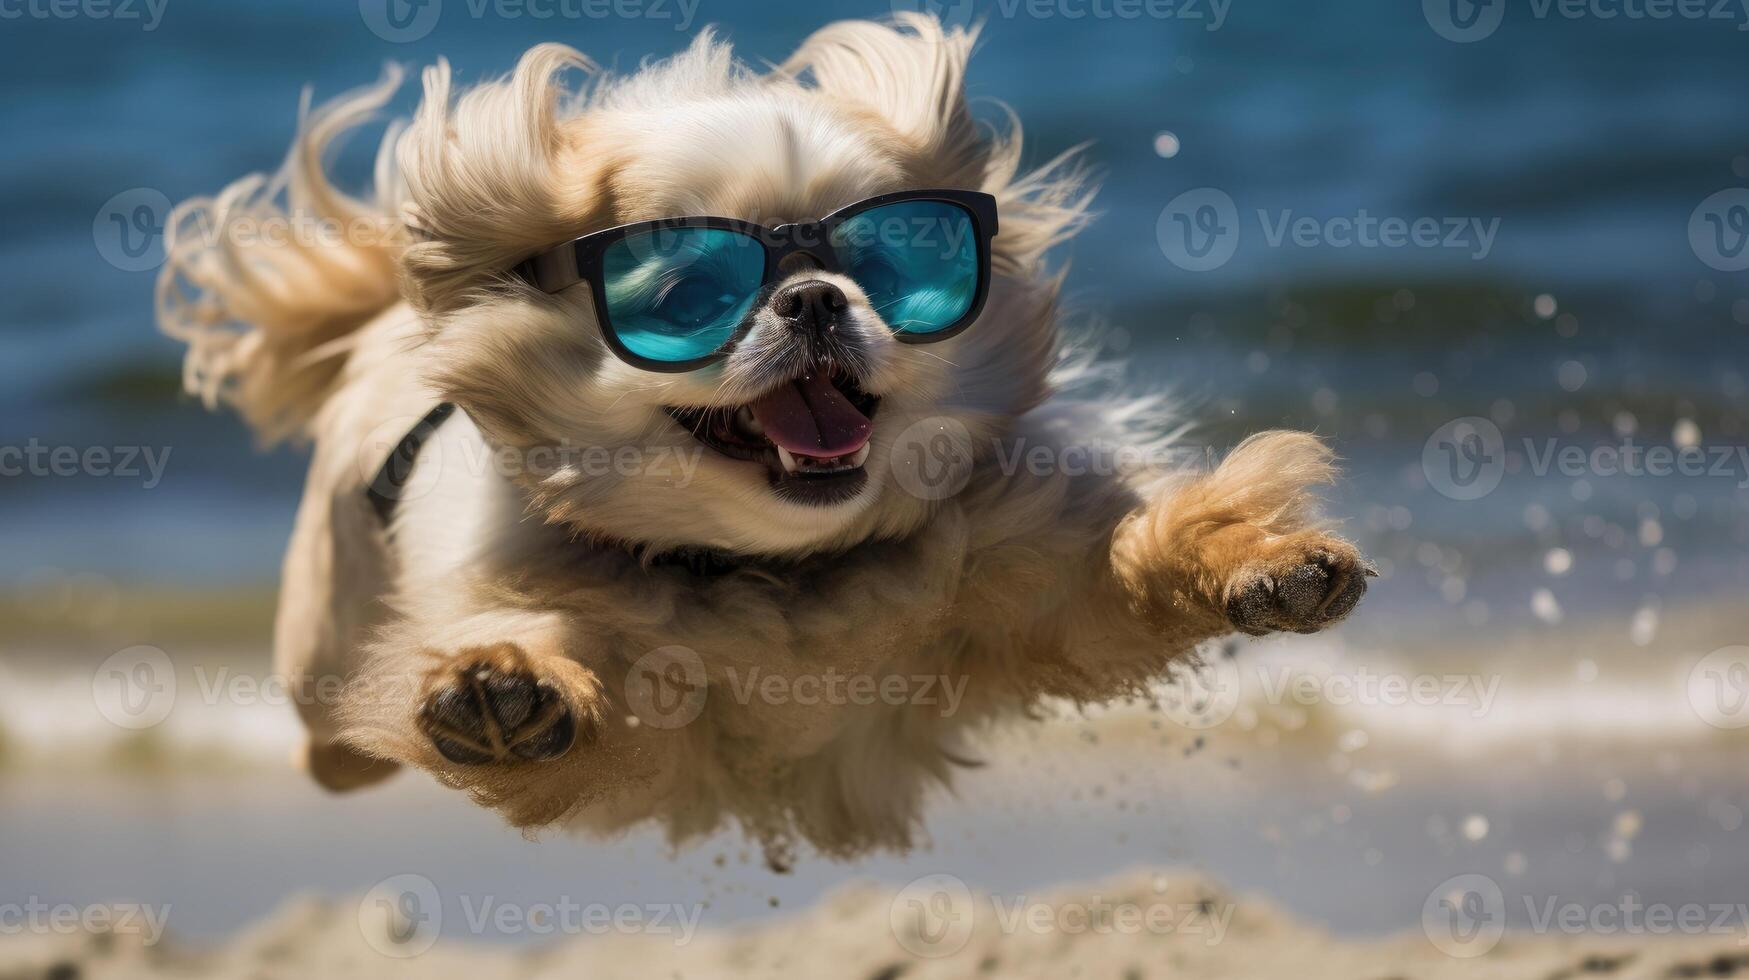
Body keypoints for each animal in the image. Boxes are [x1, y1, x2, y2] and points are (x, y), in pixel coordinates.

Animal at [157, 13, 1371, 857]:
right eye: (689, 293)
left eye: (890, 262)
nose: (817, 300)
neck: (779, 572)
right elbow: (537, 661)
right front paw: (503, 693)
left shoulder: (1040, 577)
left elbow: (1139, 557)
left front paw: (1270, 565)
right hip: (319, 647)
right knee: (332, 747)